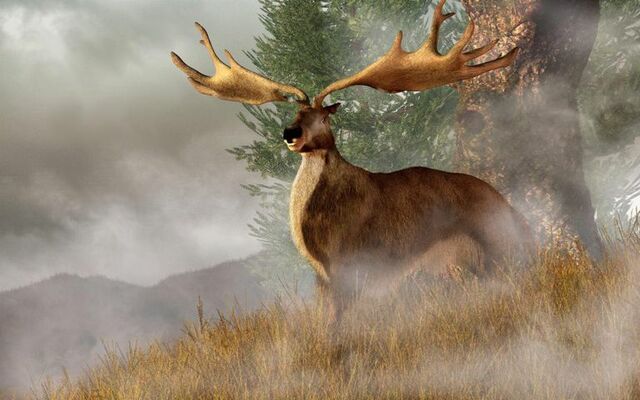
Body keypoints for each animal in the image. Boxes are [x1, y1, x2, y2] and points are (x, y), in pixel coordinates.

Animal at [171, 0, 533, 322]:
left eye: (322, 117)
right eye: (295, 114)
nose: (289, 133)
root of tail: (512, 210)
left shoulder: (350, 261)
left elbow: (339, 320)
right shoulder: (324, 274)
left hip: (485, 249)